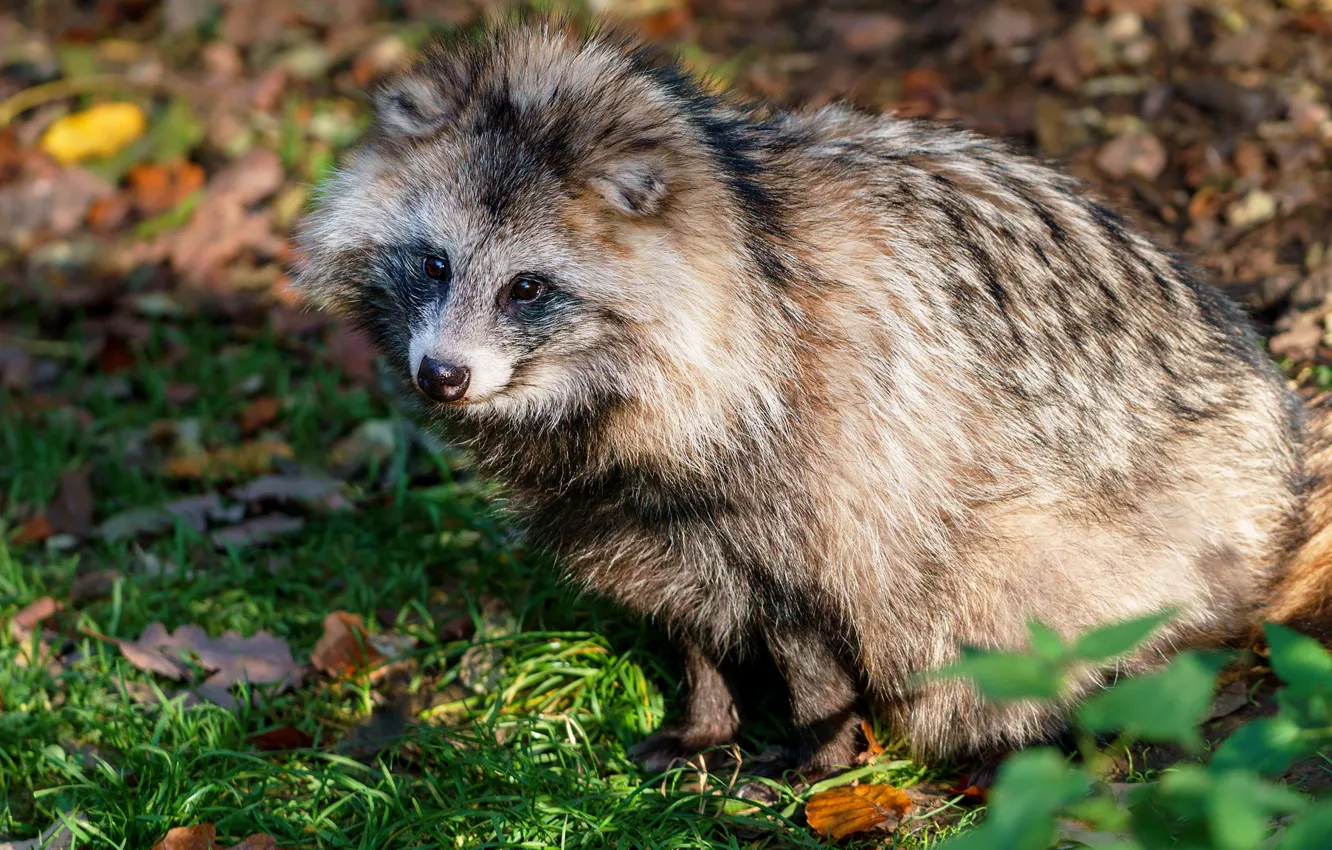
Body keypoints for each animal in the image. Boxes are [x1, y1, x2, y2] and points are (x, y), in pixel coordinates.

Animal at [297, 21, 1332, 773]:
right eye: (434, 264)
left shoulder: (832, 481)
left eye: (526, 288)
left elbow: (810, 635)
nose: (441, 376)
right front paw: (708, 716)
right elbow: (688, 614)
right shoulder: (638, 511)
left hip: (1071, 549)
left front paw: (822, 755)